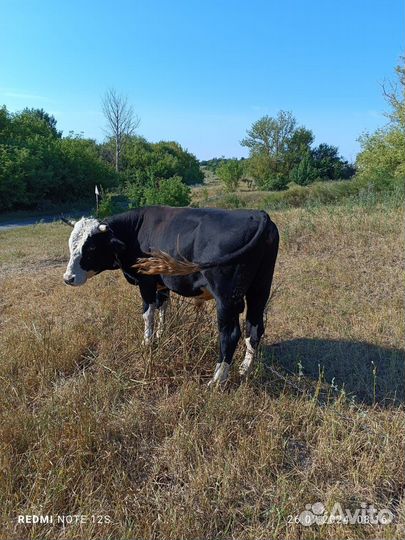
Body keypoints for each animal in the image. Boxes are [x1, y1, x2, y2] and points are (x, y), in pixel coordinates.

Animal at [63, 206, 278, 384]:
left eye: (91, 248)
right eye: (71, 244)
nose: (68, 278)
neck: (135, 230)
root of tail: (258, 215)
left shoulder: (146, 282)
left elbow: (147, 313)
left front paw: (147, 342)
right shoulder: (161, 285)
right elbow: (163, 309)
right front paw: (161, 334)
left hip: (226, 298)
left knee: (230, 334)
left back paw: (217, 379)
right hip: (260, 288)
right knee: (254, 328)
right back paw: (245, 369)